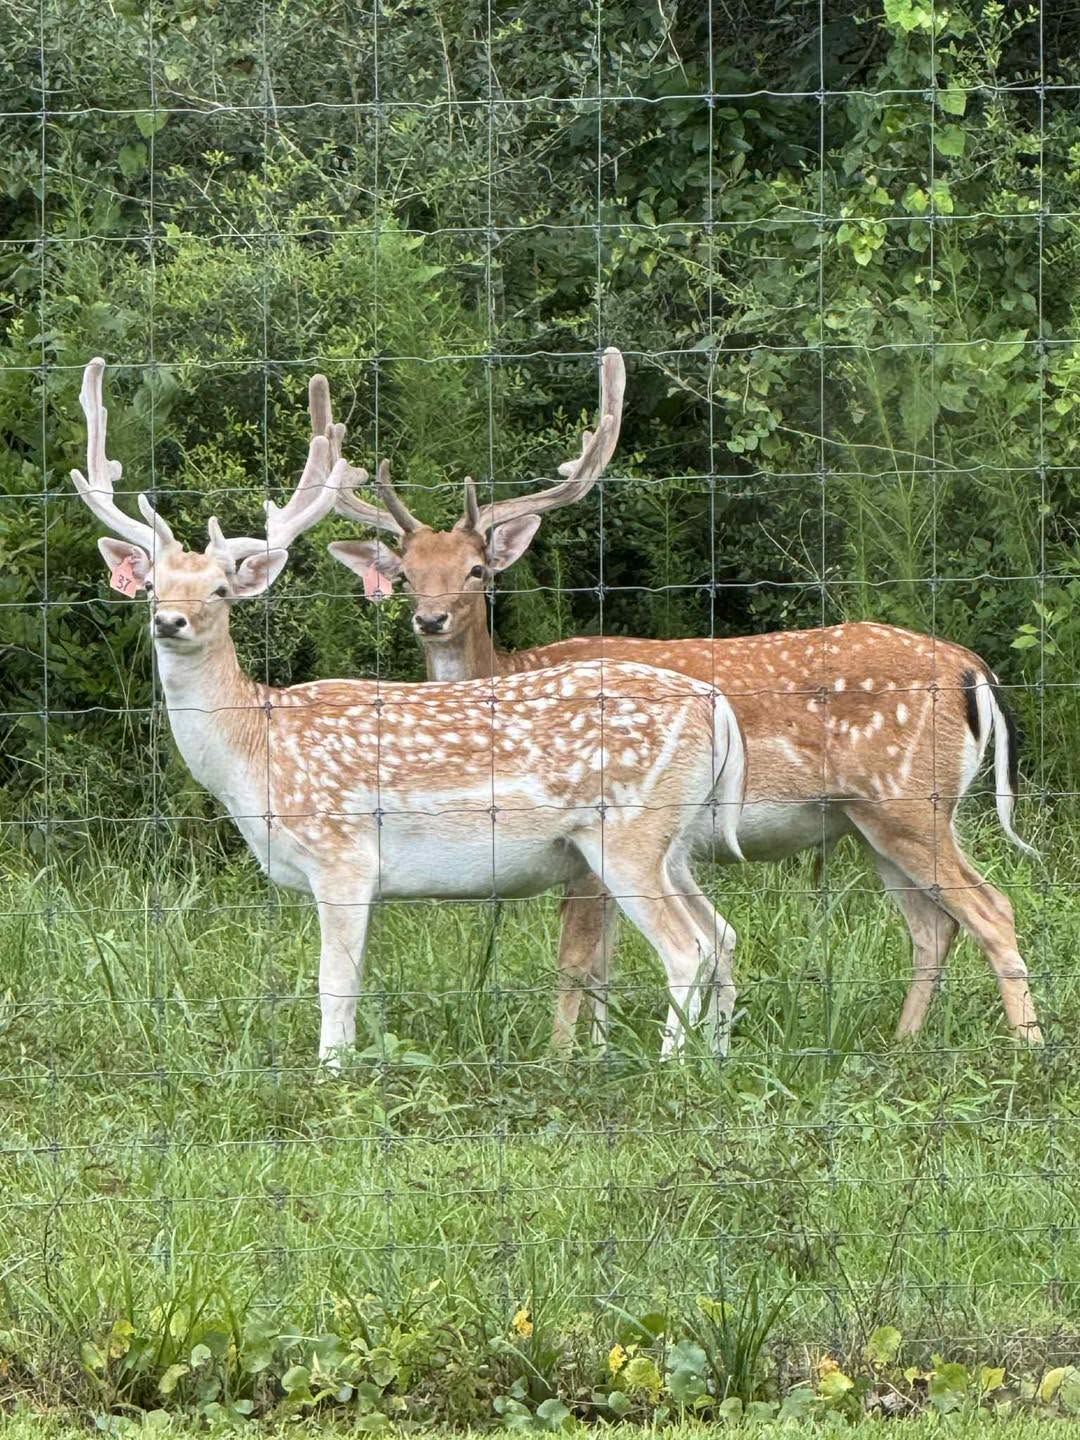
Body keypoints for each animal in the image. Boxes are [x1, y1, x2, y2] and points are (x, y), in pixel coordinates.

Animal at [70, 358, 749, 1064]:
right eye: (152, 586)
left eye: (222, 590)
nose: (169, 621)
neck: (255, 752)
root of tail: (717, 711)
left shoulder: (342, 855)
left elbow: (335, 986)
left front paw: (332, 1074)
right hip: (675, 838)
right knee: (723, 936)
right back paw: (715, 1060)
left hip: (630, 832)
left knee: (687, 947)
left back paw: (668, 1070)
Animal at [323, 347, 1044, 1050]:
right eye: (408, 575)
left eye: (478, 571)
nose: (431, 619)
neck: (508, 670)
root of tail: (972, 668)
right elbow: (606, 964)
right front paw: (603, 1052)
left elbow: (577, 959)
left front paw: (563, 1058)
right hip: (871, 818)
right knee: (933, 925)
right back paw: (903, 1046)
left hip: (909, 799)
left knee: (991, 909)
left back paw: (1027, 1050)